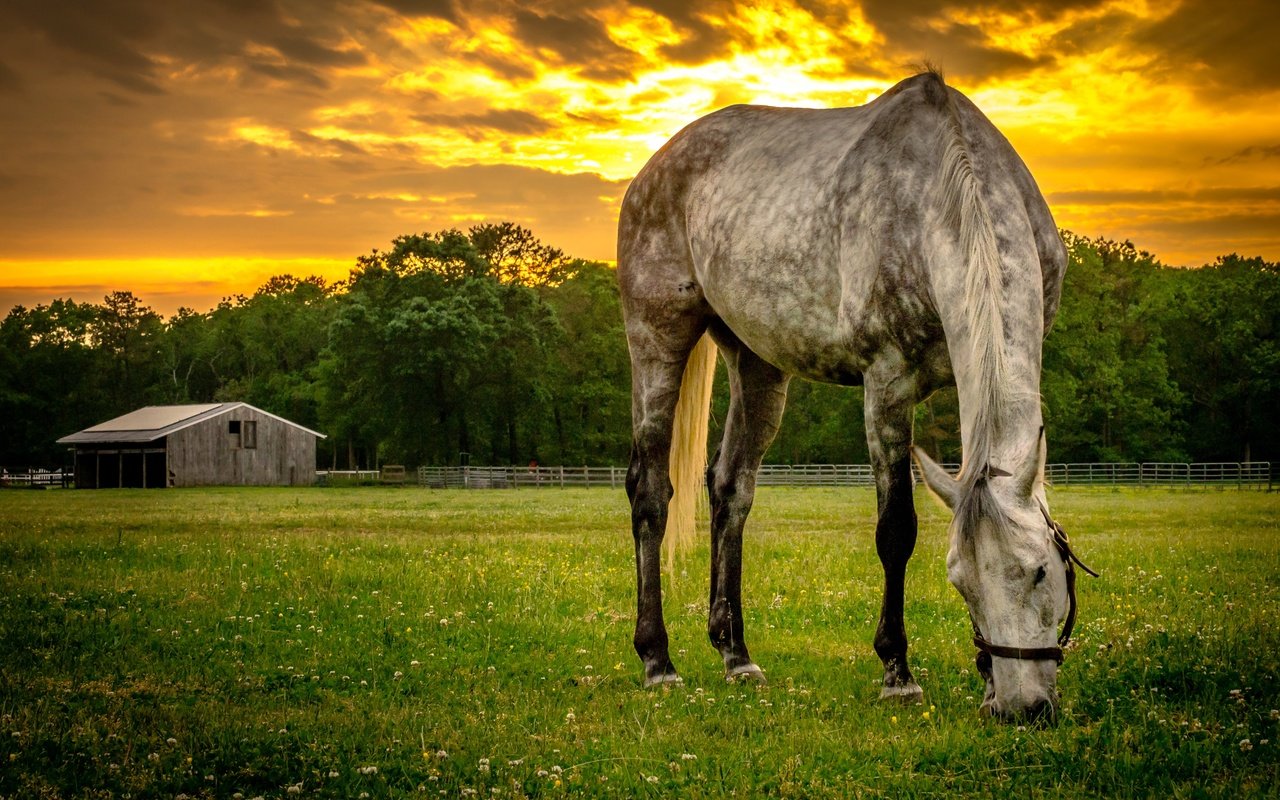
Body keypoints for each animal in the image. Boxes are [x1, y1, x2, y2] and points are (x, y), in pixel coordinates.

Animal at [614, 68, 1085, 721]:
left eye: (1042, 571)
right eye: (960, 581)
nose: (1022, 707)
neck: (944, 187)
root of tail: (654, 167)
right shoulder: (887, 383)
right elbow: (896, 530)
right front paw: (897, 672)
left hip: (757, 364)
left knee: (730, 490)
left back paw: (736, 655)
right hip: (657, 339)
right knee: (650, 493)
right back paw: (657, 660)